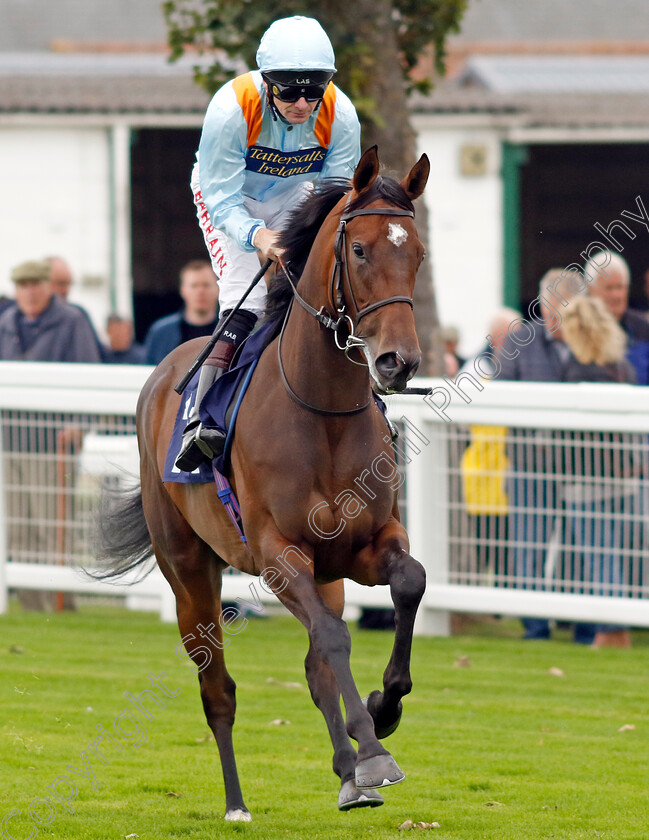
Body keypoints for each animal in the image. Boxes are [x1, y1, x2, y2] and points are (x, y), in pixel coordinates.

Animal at [97, 146, 430, 820]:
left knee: (315, 668)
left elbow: (408, 584)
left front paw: (383, 713)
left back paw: (347, 773)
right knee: (217, 686)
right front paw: (374, 753)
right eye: (360, 251)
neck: (323, 411)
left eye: (417, 254)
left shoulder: (363, 544)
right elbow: (332, 639)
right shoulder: (279, 554)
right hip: (190, 572)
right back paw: (237, 802)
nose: (397, 362)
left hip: (324, 575)